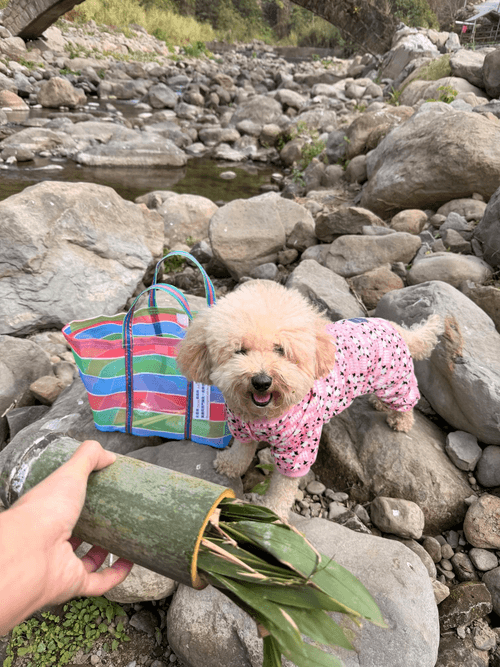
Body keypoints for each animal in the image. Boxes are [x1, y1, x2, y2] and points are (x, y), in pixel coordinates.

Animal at [177, 280, 443, 518]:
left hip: (396, 380)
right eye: (240, 350)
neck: (263, 415)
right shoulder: (242, 428)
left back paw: (401, 420)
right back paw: (379, 404)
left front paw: (273, 511)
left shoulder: (297, 449)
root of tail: (392, 325)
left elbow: (283, 486)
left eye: (280, 350)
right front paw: (230, 466)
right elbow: (241, 451)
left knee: (407, 399)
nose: (261, 381)